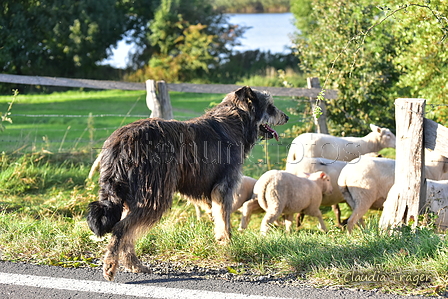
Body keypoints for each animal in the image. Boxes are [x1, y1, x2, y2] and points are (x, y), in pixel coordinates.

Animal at [87, 86, 288, 282]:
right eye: (270, 106)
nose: (286, 117)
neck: (237, 121)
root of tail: (120, 142)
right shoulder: (224, 188)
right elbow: (224, 221)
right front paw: (228, 244)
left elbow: (218, 218)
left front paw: (221, 240)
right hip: (154, 196)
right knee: (121, 229)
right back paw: (110, 266)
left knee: (126, 233)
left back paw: (134, 265)